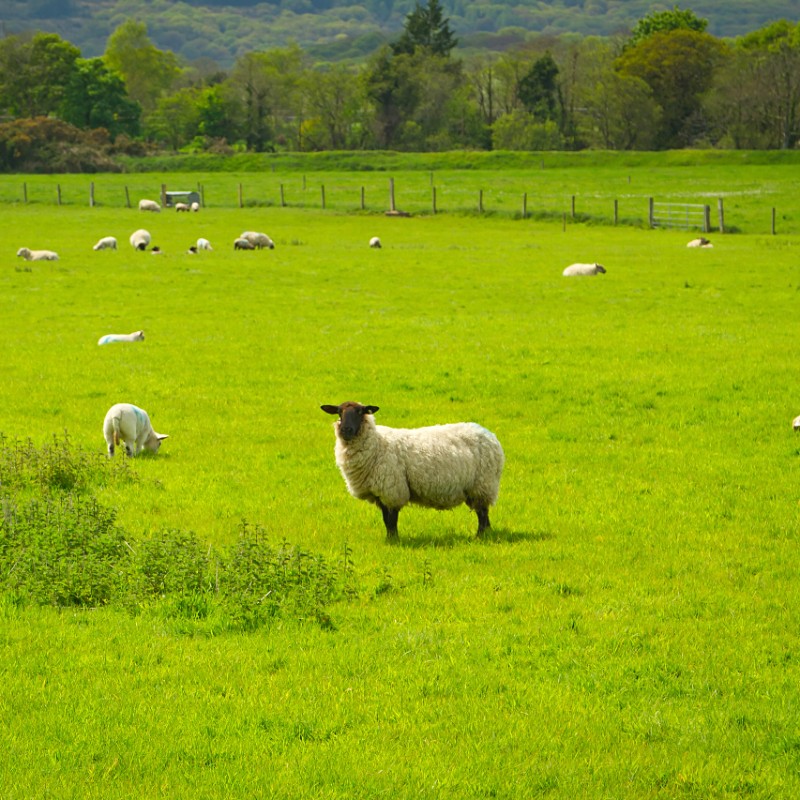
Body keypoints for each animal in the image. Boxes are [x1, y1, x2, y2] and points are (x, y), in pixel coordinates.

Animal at [320, 404, 504, 540]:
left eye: (360, 411)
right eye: (339, 412)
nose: (346, 430)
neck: (377, 444)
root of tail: (490, 435)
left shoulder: (393, 490)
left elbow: (392, 519)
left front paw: (394, 540)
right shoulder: (381, 493)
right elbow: (386, 519)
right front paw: (390, 539)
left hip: (483, 484)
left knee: (482, 513)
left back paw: (480, 536)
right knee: (484, 513)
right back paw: (487, 534)